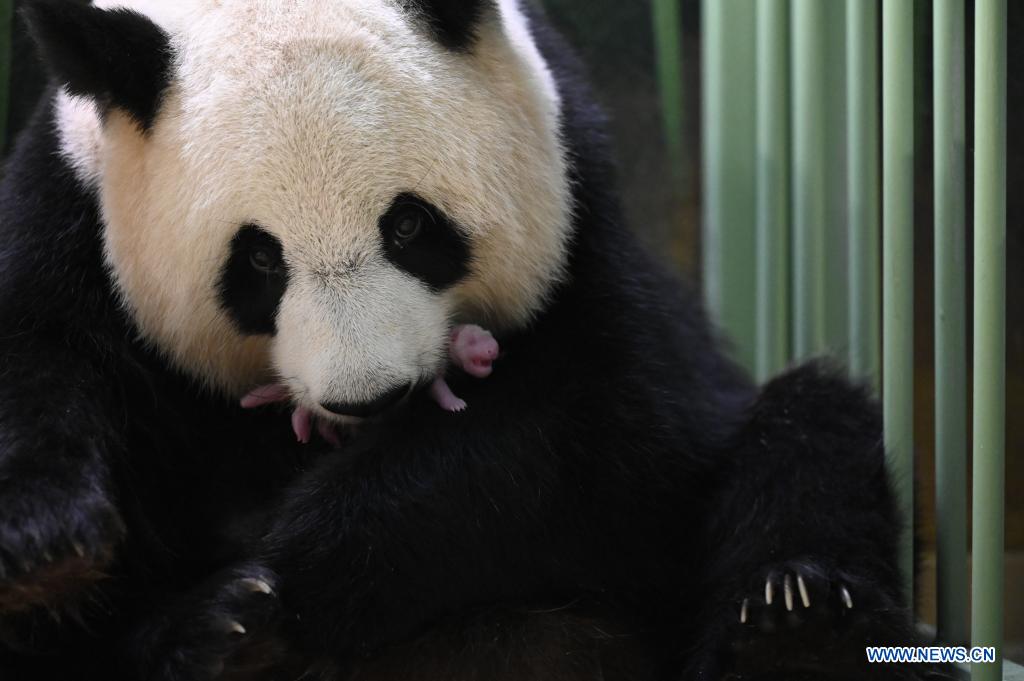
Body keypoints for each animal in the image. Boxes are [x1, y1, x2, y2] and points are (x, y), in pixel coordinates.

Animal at [0, 0, 937, 675]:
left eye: (410, 224)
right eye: (258, 260)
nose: (370, 397)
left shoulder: (578, 213)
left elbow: (586, 430)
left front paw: (276, 588)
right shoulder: (74, 211)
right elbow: (39, 357)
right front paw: (59, 553)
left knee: (811, 430)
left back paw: (796, 627)